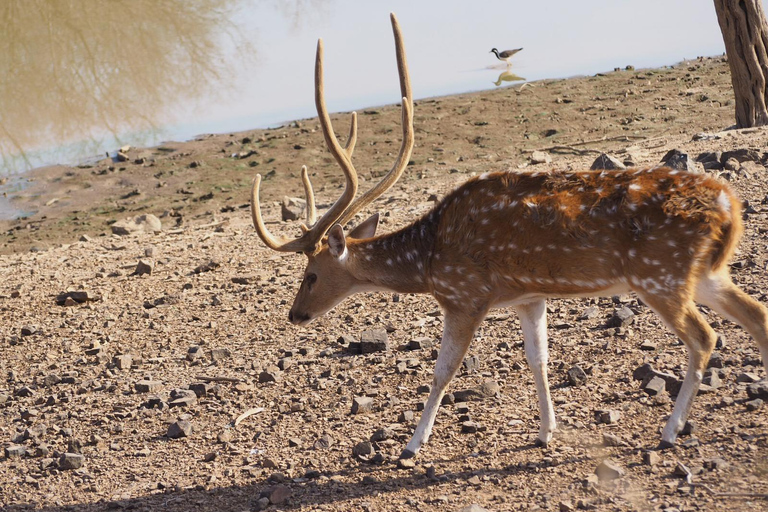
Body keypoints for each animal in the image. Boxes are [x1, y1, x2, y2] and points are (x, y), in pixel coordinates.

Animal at [250, 13, 768, 460]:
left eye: (311, 274)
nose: (295, 314)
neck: (429, 259)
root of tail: (731, 205)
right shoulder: (528, 296)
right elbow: (538, 358)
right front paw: (545, 432)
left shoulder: (465, 295)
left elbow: (443, 370)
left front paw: (411, 445)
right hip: (707, 272)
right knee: (757, 315)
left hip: (661, 276)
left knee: (705, 337)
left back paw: (669, 432)